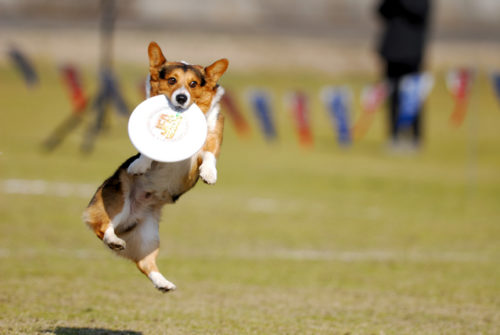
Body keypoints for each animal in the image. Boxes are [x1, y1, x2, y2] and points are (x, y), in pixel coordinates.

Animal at [83, 42, 229, 292]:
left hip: (148, 234)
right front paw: (140, 164)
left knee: (145, 263)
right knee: (104, 228)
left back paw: (163, 283)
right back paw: (114, 240)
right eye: (171, 80)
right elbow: (150, 150)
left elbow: (209, 154)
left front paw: (209, 174)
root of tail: (130, 219)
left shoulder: (211, 137)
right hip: (118, 199)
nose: (181, 98)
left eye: (193, 84)